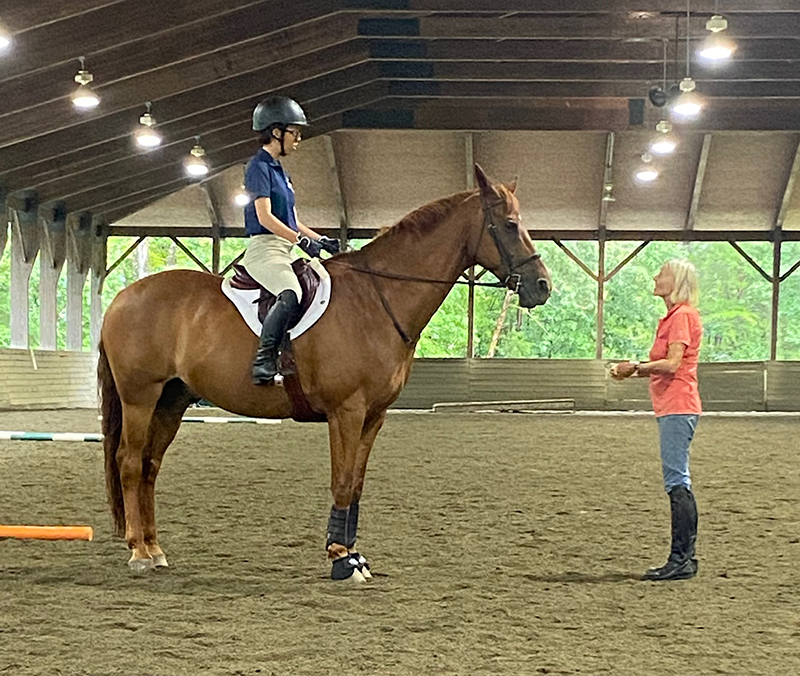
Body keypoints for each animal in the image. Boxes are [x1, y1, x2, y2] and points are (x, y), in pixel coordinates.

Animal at [98, 165, 552, 580]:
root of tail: (122, 298)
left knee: (150, 465)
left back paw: (156, 548)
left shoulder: (373, 417)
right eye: (510, 225)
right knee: (130, 462)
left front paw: (355, 556)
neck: (377, 299)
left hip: (172, 400)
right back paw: (139, 552)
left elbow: (356, 484)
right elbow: (341, 480)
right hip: (140, 397)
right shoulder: (346, 412)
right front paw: (340, 560)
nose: (542, 286)